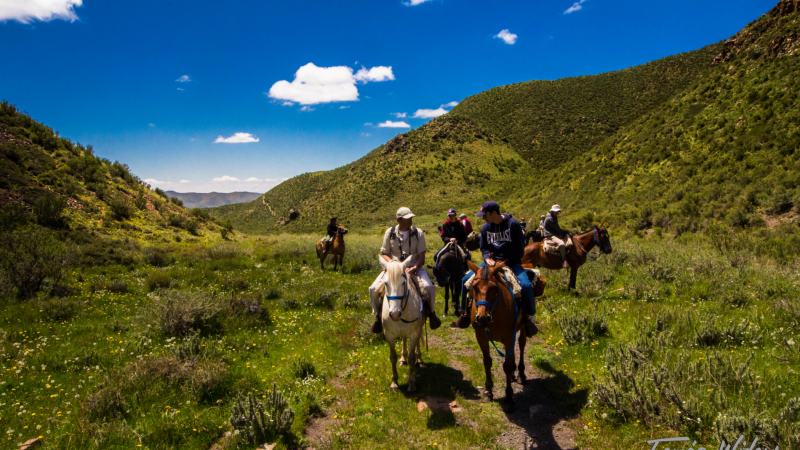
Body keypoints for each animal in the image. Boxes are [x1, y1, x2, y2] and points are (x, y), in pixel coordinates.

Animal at [380, 256, 428, 394]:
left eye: (403, 283)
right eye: (385, 283)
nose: (395, 314)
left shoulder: (414, 333)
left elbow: (412, 358)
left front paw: (411, 385)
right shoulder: (389, 335)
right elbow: (392, 357)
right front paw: (394, 383)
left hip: (419, 328)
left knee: (417, 344)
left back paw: (419, 359)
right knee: (403, 339)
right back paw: (403, 358)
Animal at [466, 258, 528, 414]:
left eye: (494, 288)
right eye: (474, 287)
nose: (482, 318)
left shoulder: (508, 337)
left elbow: (506, 366)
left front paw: (509, 398)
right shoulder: (481, 337)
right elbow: (487, 362)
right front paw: (488, 392)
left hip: (523, 328)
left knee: (521, 345)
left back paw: (521, 374)